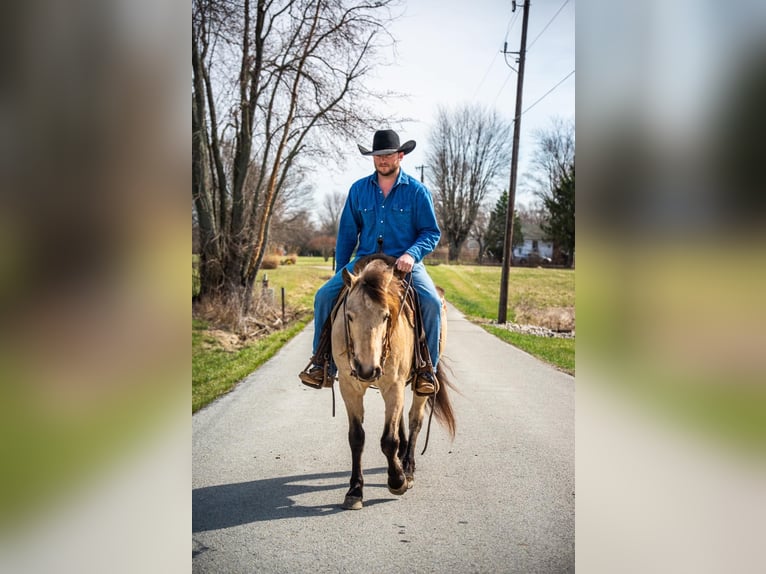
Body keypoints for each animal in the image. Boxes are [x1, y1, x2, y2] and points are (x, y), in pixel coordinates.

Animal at [330, 254, 456, 510]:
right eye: (349, 316)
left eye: (386, 316)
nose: (367, 369)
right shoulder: (349, 388)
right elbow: (357, 437)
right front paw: (355, 490)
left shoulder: (393, 385)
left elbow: (389, 440)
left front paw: (397, 480)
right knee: (400, 422)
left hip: (419, 386)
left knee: (415, 420)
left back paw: (407, 467)